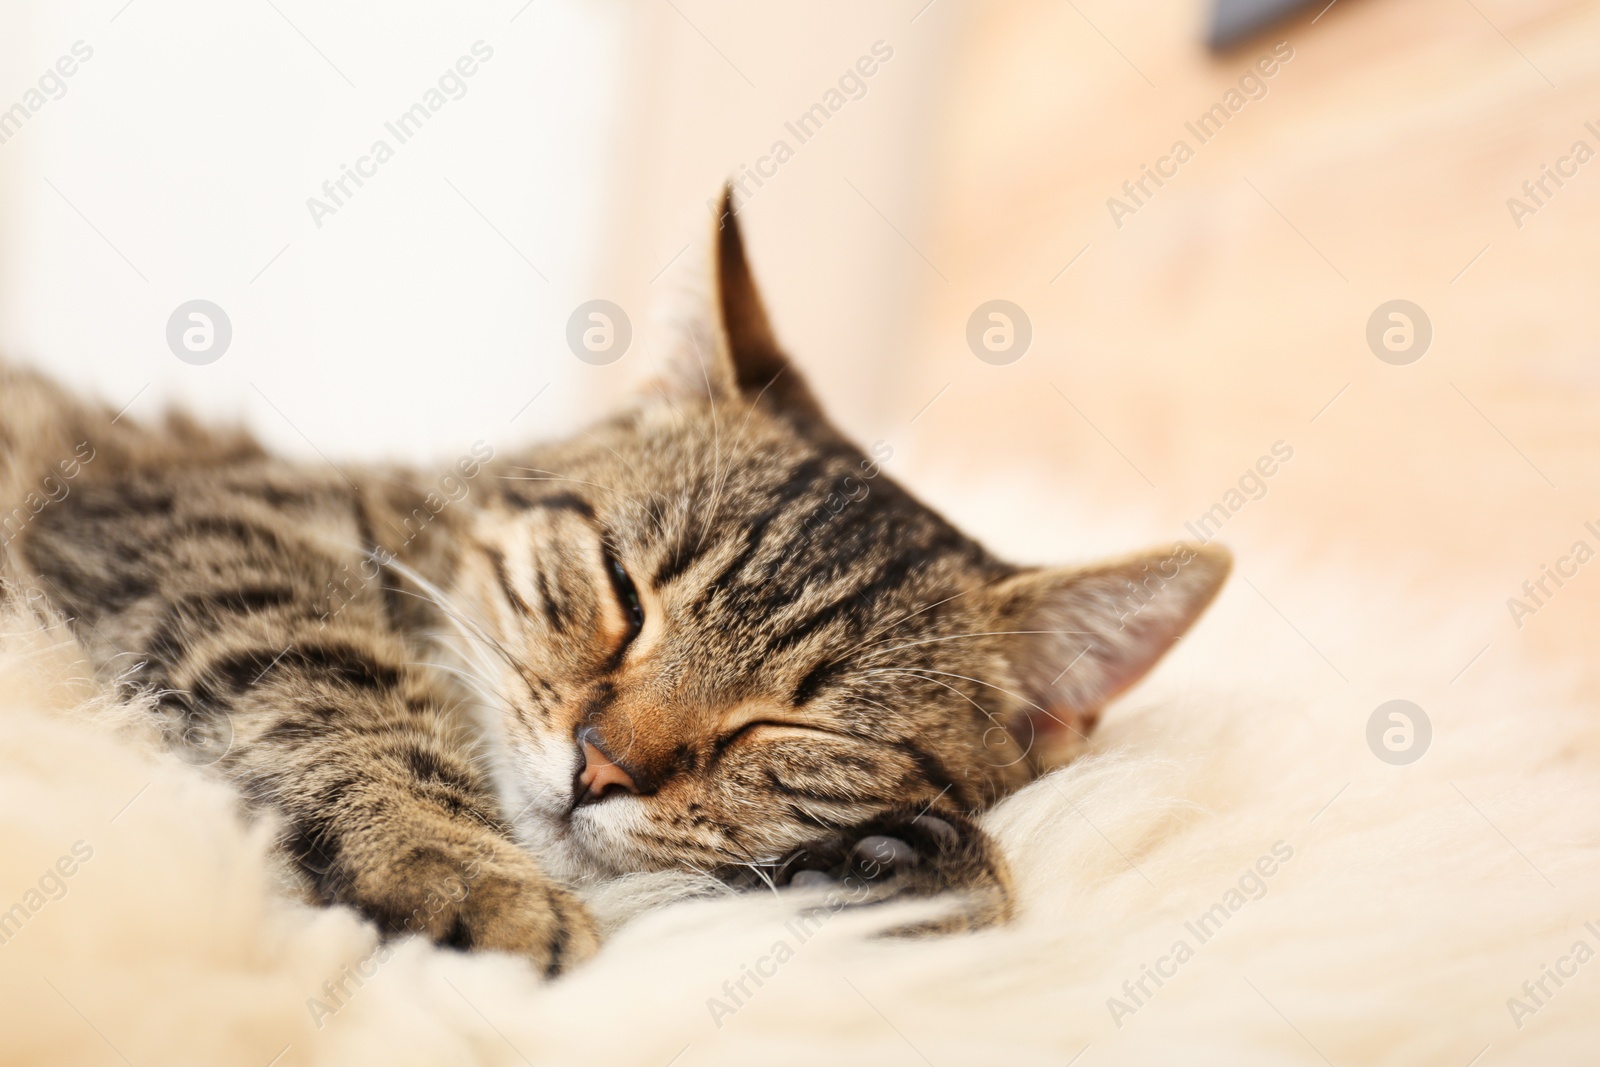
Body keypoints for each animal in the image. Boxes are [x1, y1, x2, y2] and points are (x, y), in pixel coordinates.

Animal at [0, 191, 1222, 979]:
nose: (602, 765)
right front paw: (463, 867)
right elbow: (335, 686)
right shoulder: (200, 523)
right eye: (626, 593)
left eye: (794, 728)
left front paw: (900, 869)